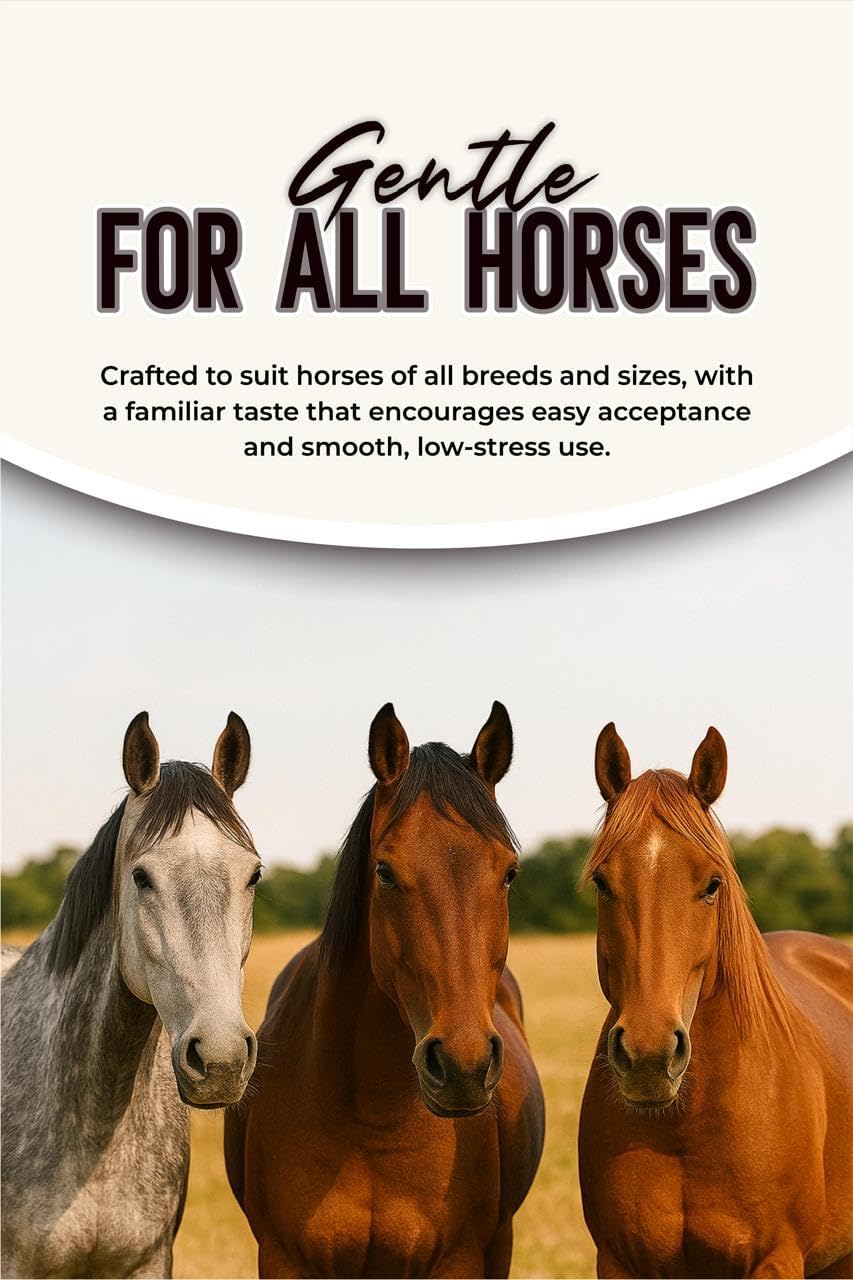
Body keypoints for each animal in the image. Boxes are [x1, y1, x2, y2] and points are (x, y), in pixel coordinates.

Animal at [225, 702, 545, 1278]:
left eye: (509, 872)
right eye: (385, 870)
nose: (463, 1066)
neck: (371, 1119)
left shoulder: (458, 1260)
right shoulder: (284, 1258)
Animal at [578, 723, 853, 1279]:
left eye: (712, 883)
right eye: (602, 881)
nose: (649, 1057)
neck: (688, 1125)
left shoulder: (775, 1260)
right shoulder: (619, 1261)